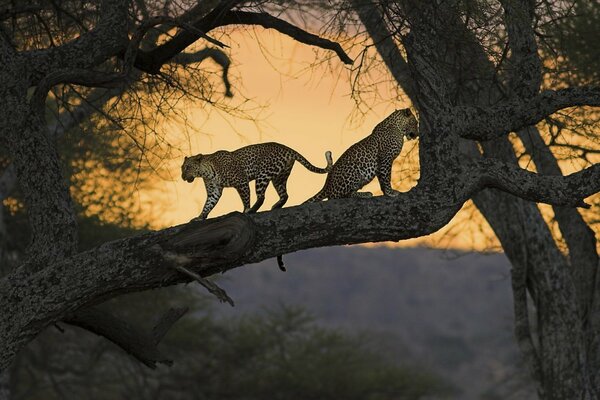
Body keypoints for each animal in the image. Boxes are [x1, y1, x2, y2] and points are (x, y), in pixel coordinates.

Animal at [183, 142, 332, 220]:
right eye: (182, 168)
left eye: (188, 167)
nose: (182, 177)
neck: (206, 172)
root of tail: (286, 147)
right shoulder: (214, 190)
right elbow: (208, 204)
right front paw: (200, 217)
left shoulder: (241, 182)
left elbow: (245, 198)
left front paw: (245, 210)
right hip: (279, 177)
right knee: (285, 195)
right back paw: (276, 206)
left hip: (263, 175)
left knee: (261, 197)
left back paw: (252, 210)